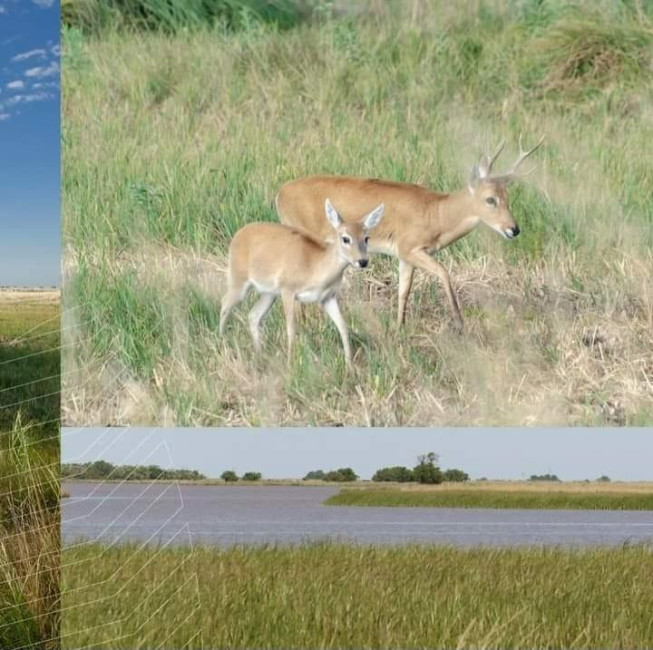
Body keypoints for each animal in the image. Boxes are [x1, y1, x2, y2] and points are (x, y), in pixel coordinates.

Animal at [220, 197, 382, 364]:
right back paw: (223, 342)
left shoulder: (327, 297)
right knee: (225, 302)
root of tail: (237, 235)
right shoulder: (288, 290)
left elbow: (343, 326)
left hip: (269, 293)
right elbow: (291, 328)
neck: (314, 267)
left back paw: (259, 354)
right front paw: (291, 363)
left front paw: (349, 363)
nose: (362, 261)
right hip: (239, 279)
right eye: (345, 238)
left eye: (366, 238)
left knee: (253, 315)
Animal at [274, 136, 540, 330]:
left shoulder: (405, 257)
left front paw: (399, 327)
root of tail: (280, 193)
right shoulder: (411, 248)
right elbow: (444, 272)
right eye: (490, 199)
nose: (513, 229)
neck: (437, 212)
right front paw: (459, 323)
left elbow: (404, 290)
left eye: (508, 197)